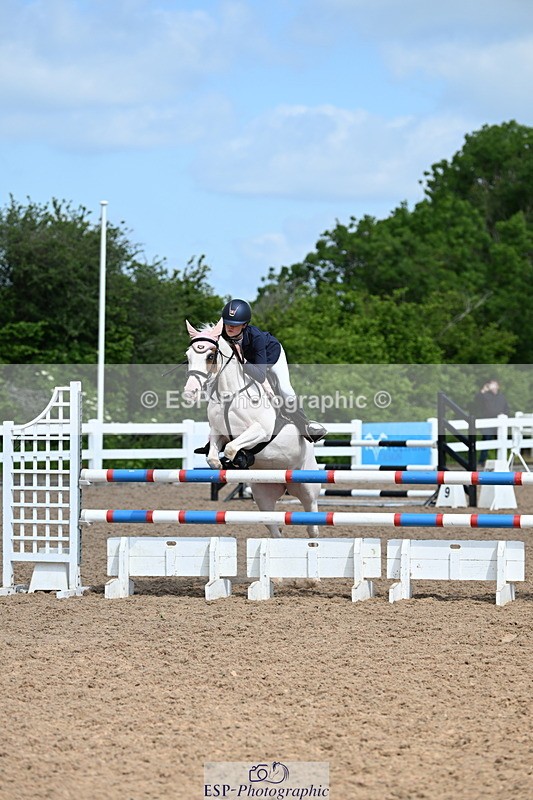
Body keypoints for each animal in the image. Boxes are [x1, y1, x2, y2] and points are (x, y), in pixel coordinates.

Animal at [184, 319, 321, 538]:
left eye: (210, 356)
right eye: (188, 356)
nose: (190, 392)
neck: (229, 395)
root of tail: (285, 485)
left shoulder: (261, 431)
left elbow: (232, 448)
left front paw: (239, 459)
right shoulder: (218, 433)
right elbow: (214, 457)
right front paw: (226, 465)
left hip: (307, 487)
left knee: (312, 524)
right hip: (263, 495)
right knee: (274, 528)